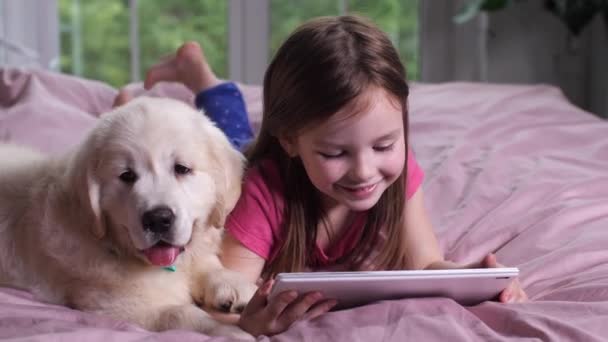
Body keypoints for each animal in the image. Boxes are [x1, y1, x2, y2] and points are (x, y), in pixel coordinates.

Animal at [0, 97, 256, 338]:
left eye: (182, 169)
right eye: (127, 175)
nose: (158, 219)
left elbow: (207, 263)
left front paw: (236, 285)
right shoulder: (117, 306)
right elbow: (179, 314)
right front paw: (230, 331)